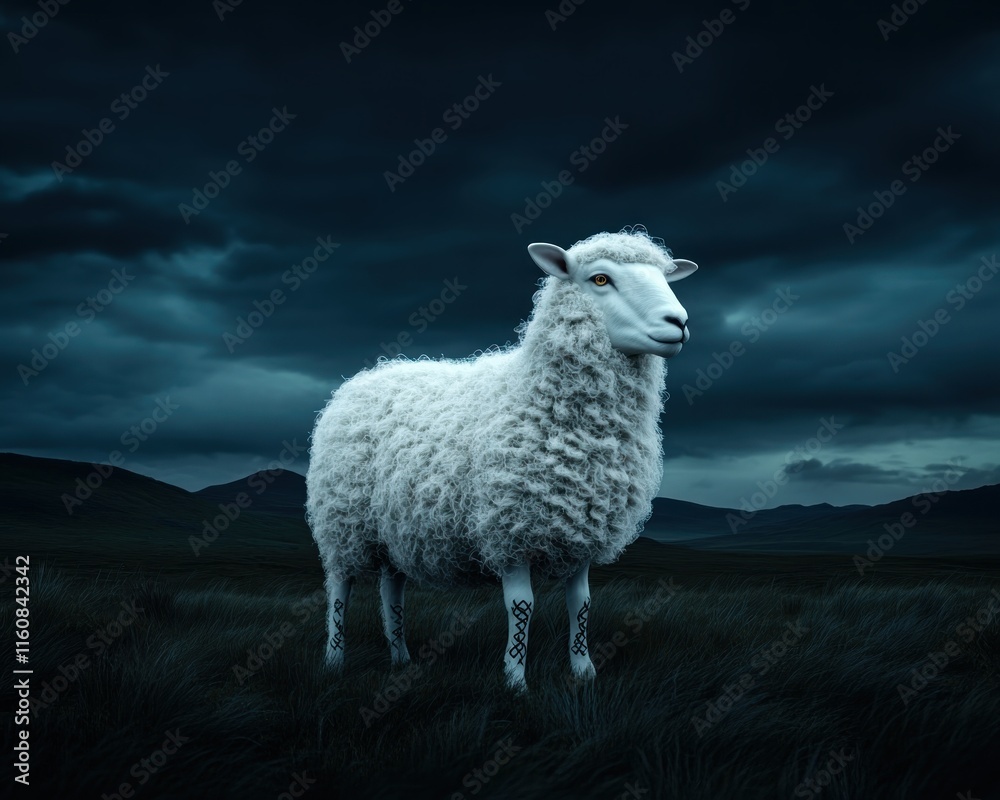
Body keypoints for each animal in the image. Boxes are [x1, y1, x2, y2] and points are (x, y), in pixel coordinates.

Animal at [305, 226, 698, 691]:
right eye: (600, 279)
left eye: (666, 278)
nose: (678, 323)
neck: (532, 393)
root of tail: (360, 379)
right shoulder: (508, 528)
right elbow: (521, 606)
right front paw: (515, 681)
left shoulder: (583, 526)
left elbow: (581, 603)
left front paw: (584, 672)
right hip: (341, 521)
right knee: (339, 589)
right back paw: (334, 660)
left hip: (395, 528)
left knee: (391, 590)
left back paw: (400, 658)